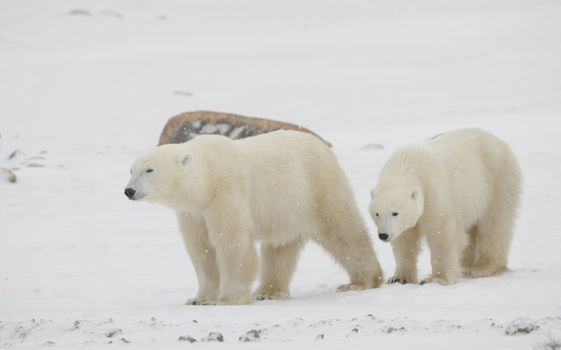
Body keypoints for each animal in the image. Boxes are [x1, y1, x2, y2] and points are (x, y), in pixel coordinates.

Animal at [124, 130, 382, 304]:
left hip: (318, 187)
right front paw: (198, 298)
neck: (206, 179)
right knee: (280, 248)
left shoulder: (225, 192)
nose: (129, 190)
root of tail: (323, 146)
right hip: (286, 208)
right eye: (131, 170)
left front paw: (228, 298)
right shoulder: (193, 212)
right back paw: (268, 291)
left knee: (343, 231)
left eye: (149, 170)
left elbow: (232, 242)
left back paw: (362, 281)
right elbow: (201, 248)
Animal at [368, 129, 520, 284]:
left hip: (497, 181)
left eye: (395, 213)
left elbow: (441, 234)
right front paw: (399, 278)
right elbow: (405, 240)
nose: (383, 235)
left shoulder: (434, 192)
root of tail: (498, 140)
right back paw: (464, 264)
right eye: (377, 213)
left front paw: (437, 278)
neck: (407, 165)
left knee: (494, 224)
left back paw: (483, 268)